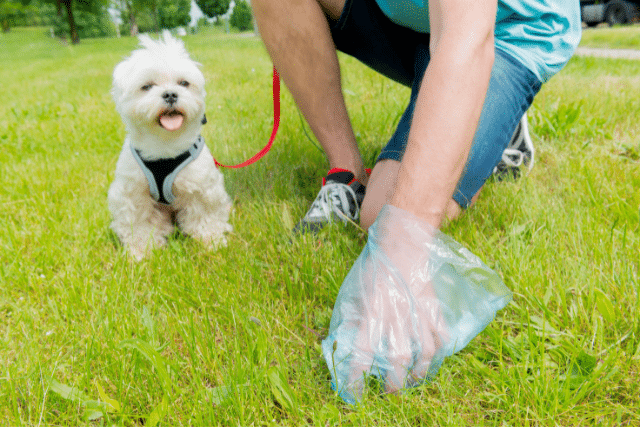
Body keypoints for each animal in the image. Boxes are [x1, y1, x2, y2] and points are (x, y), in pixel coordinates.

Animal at [109, 31, 232, 260]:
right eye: (147, 86)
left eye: (183, 83)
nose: (170, 94)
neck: (164, 146)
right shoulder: (132, 193)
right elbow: (138, 224)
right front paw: (141, 251)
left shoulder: (202, 187)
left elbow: (205, 216)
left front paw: (212, 241)